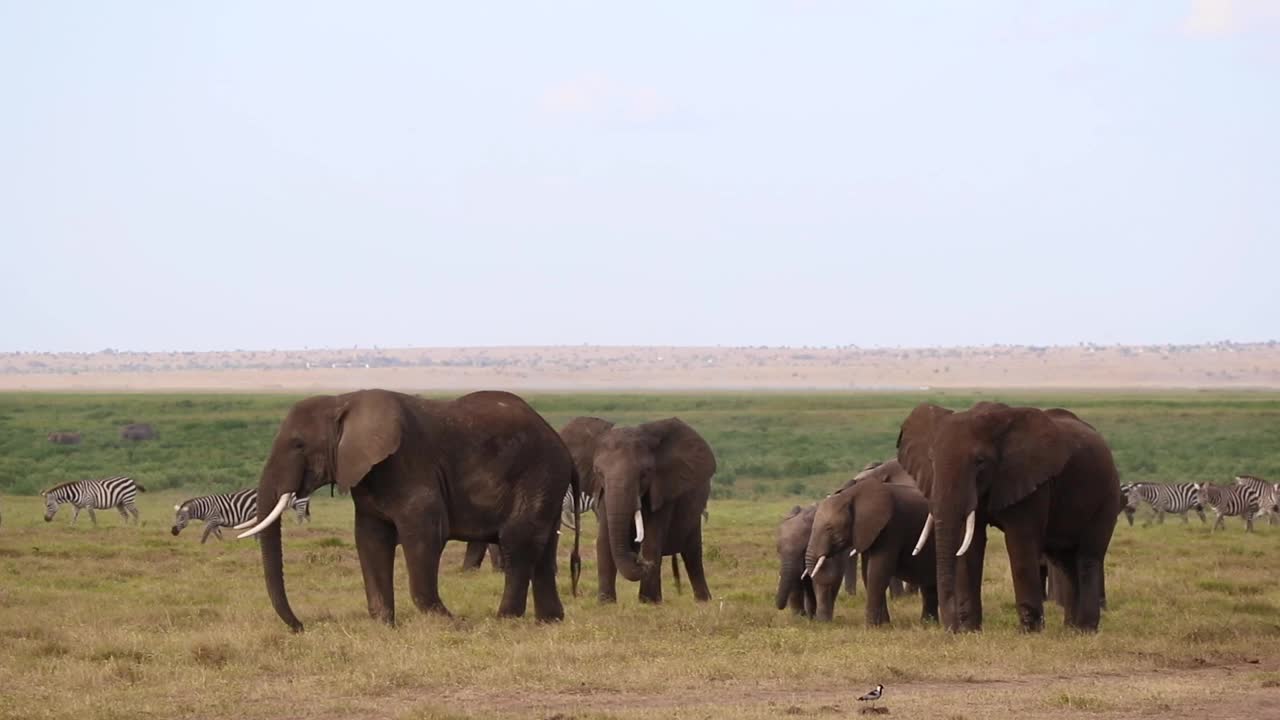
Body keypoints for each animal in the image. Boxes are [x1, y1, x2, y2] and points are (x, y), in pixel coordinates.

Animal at [172, 489, 312, 540]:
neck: (205, 508)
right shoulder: (214, 521)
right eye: (176, 517)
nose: (173, 531)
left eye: (182, 518)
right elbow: (217, 533)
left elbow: (207, 532)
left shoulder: (214, 518)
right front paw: (223, 543)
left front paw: (201, 544)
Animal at [238, 386, 583, 627]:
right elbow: (371, 539)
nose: (301, 627)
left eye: (298, 444)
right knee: (543, 545)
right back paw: (549, 621)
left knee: (517, 540)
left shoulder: (409, 466)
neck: (342, 400)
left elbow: (425, 534)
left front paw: (447, 622)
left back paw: (505, 620)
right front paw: (383, 624)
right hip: (547, 481)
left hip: (537, 472)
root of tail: (561, 443)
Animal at [563, 412, 716, 602]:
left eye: (645, 473)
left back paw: (703, 601)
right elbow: (604, 540)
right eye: (598, 472)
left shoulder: (664, 490)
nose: (639, 559)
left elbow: (652, 539)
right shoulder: (602, 492)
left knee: (692, 553)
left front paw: (648, 602)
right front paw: (605, 602)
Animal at [803, 476, 936, 622]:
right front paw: (884, 624)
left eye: (829, 528)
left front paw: (873, 625)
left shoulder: (890, 528)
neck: (851, 494)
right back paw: (928, 623)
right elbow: (867, 571)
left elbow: (878, 571)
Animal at [901, 399, 1121, 630]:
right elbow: (969, 544)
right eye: (931, 460)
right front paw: (970, 631)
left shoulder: (1031, 481)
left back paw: (1086, 630)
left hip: (1108, 495)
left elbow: (1020, 543)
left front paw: (1030, 631)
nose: (951, 628)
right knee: (1065, 562)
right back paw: (1071, 629)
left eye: (980, 461)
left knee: (1088, 557)